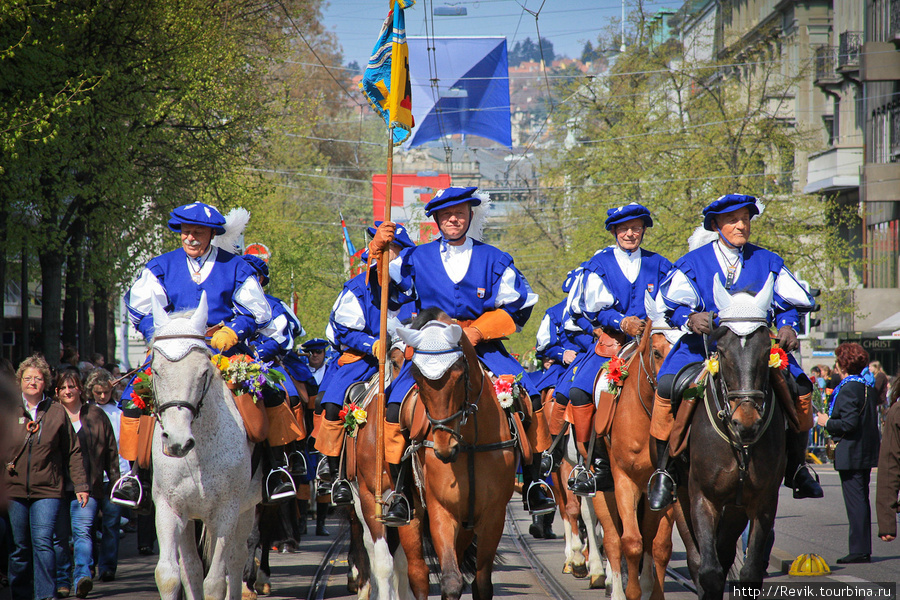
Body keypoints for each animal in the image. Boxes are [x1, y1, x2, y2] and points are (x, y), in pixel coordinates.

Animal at [149, 292, 262, 600]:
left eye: (202, 373)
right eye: (156, 371)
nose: (177, 441)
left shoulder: (225, 513)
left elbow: (215, 583)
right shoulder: (170, 509)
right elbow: (170, 576)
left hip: (245, 510)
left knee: (236, 558)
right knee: (192, 567)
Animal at [398, 310, 516, 600]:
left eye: (458, 374)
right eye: (417, 377)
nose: (443, 448)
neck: (471, 443)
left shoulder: (493, 516)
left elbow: (482, 583)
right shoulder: (442, 510)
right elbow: (451, 580)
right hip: (411, 512)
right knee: (418, 572)